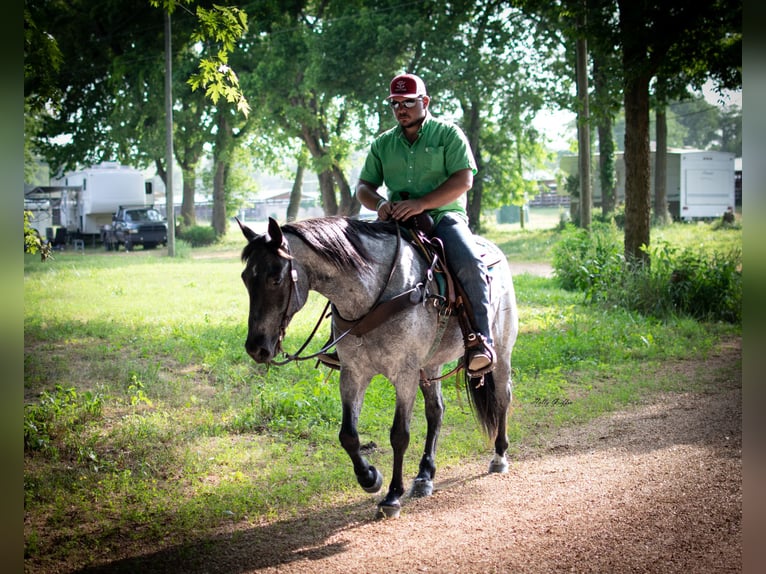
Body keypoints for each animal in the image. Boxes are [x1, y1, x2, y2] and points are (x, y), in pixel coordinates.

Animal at [240, 217, 520, 520]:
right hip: (430, 364)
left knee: (502, 397)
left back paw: (499, 456)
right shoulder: (353, 373)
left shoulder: (405, 375)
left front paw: (392, 496)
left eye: (276, 278)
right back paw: (425, 476)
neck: (373, 297)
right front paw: (370, 478)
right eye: (245, 278)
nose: (256, 347)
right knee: (436, 411)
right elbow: (348, 435)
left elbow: (399, 435)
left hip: (501, 350)